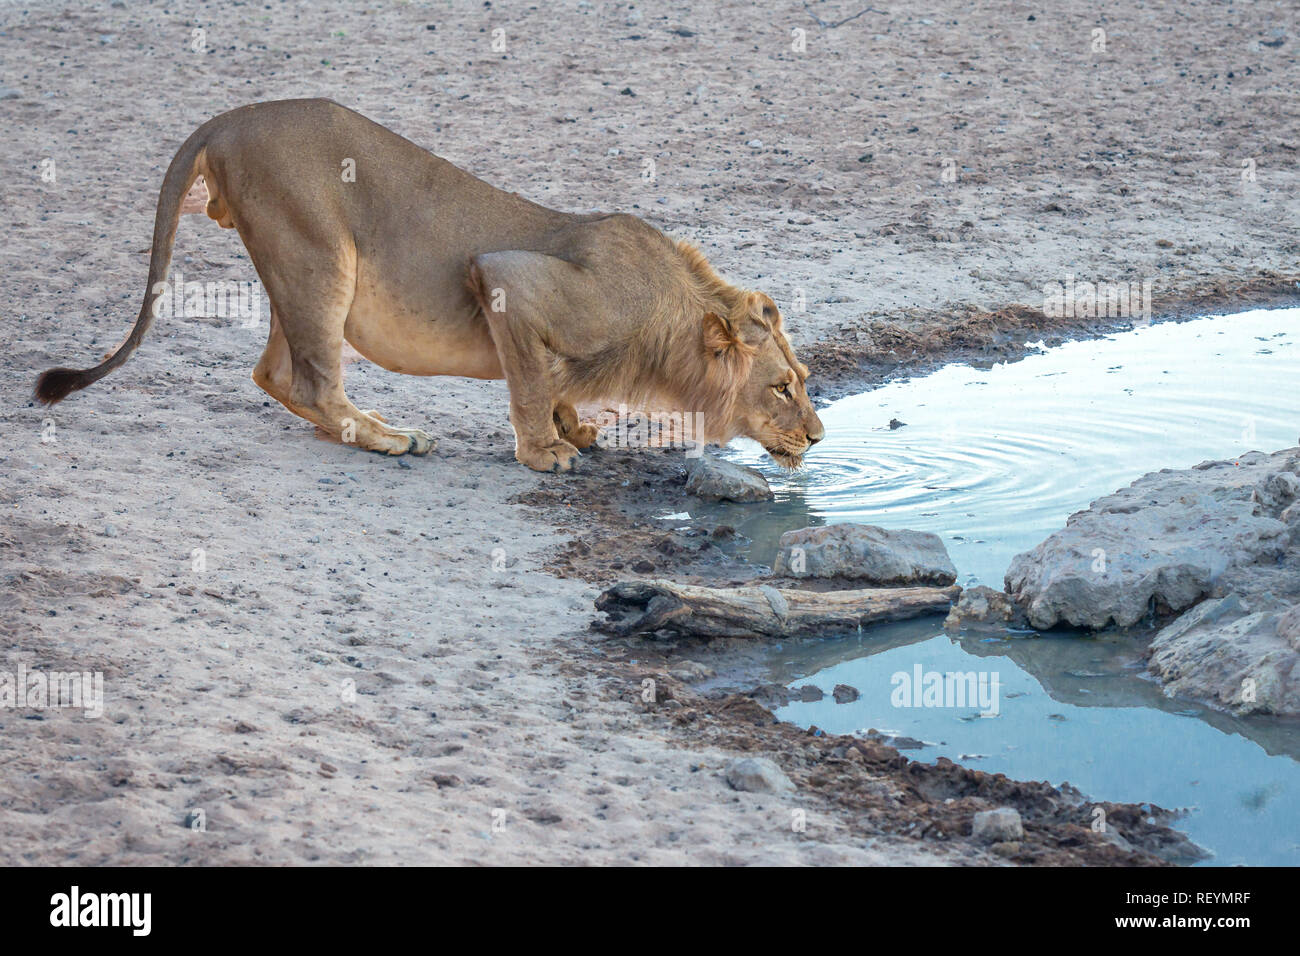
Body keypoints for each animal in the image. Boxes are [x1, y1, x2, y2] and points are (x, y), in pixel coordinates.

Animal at [35, 98, 821, 473]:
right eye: (782, 387)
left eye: (804, 380)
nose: (817, 435)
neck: (667, 324)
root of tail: (227, 120)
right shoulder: (505, 279)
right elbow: (529, 382)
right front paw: (546, 453)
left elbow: (554, 382)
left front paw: (575, 426)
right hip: (320, 255)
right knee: (312, 378)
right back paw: (390, 439)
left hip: (297, 263)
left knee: (275, 372)